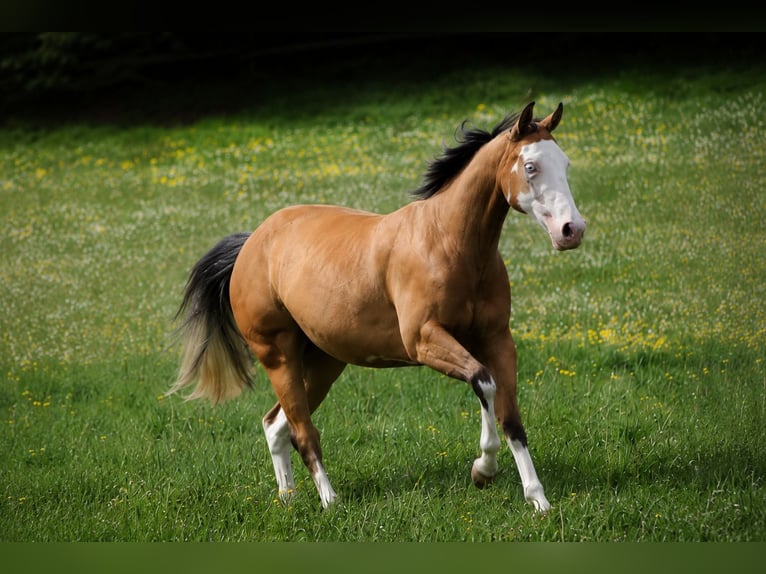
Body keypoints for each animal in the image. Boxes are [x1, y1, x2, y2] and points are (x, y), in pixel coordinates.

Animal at [168, 101, 586, 513]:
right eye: (530, 166)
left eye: (565, 164)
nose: (572, 230)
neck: (448, 242)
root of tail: (252, 242)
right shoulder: (424, 341)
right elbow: (483, 381)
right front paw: (483, 470)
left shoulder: (498, 340)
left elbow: (510, 416)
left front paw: (538, 499)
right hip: (279, 357)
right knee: (303, 433)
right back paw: (329, 501)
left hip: (323, 363)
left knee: (275, 424)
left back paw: (288, 497)